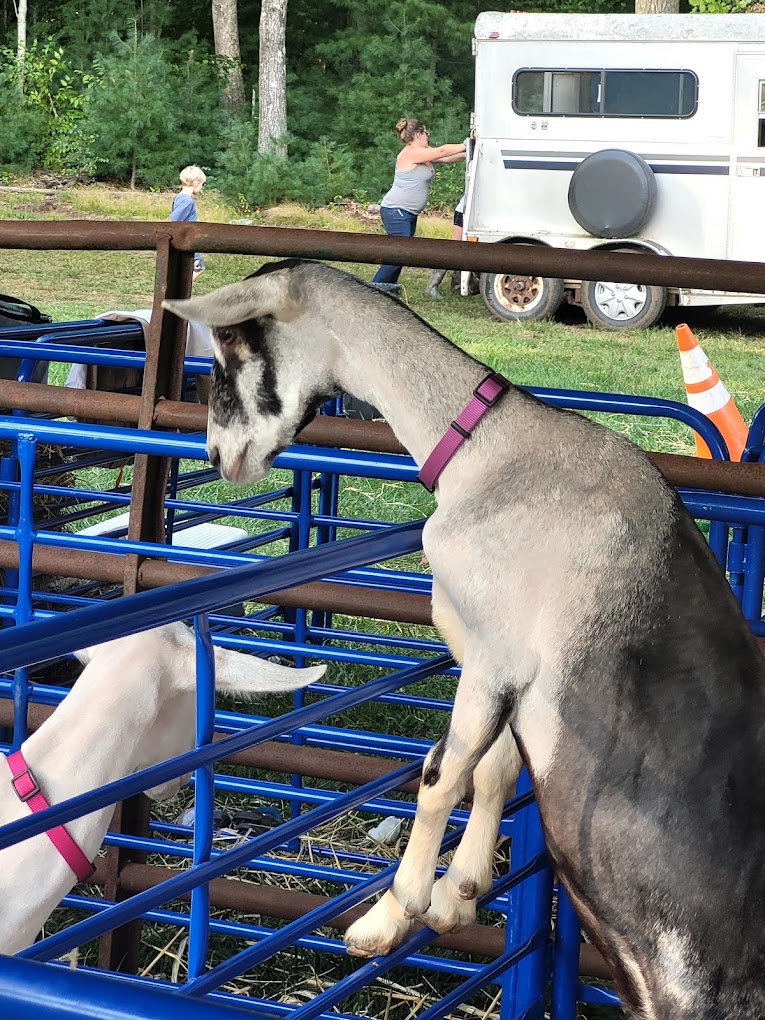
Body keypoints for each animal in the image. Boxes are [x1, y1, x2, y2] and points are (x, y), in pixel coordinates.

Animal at [163, 261, 765, 1020]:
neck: (490, 450)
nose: (220, 455)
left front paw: (392, 916)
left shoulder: (494, 657)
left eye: (229, 346)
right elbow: (494, 770)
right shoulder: (512, 674)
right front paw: (461, 897)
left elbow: (439, 776)